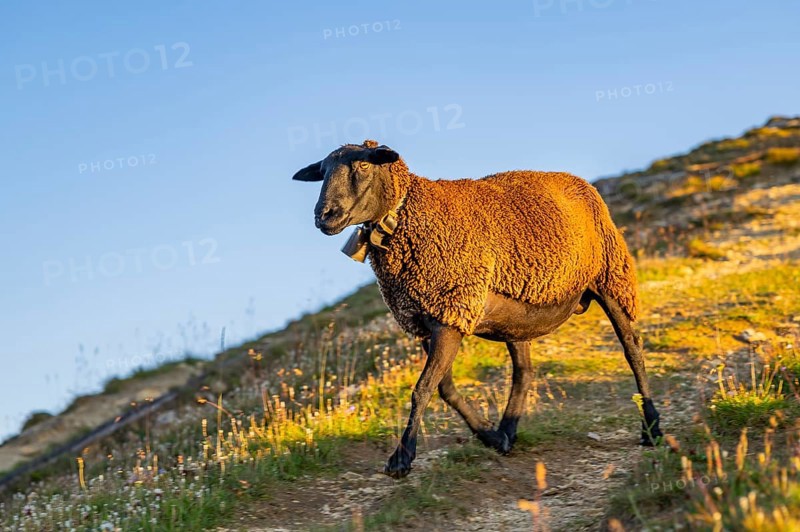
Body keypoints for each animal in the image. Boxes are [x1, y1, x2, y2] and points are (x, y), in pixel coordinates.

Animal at [293, 140, 663, 478]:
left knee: (632, 349)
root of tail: (579, 181)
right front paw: (489, 436)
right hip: (520, 312)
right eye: (323, 171)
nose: (324, 216)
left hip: (610, 277)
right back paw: (507, 431)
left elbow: (422, 389)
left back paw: (652, 428)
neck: (406, 215)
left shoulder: (450, 311)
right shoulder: (427, 320)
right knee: (523, 371)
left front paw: (401, 458)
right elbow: (444, 388)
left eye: (364, 165)